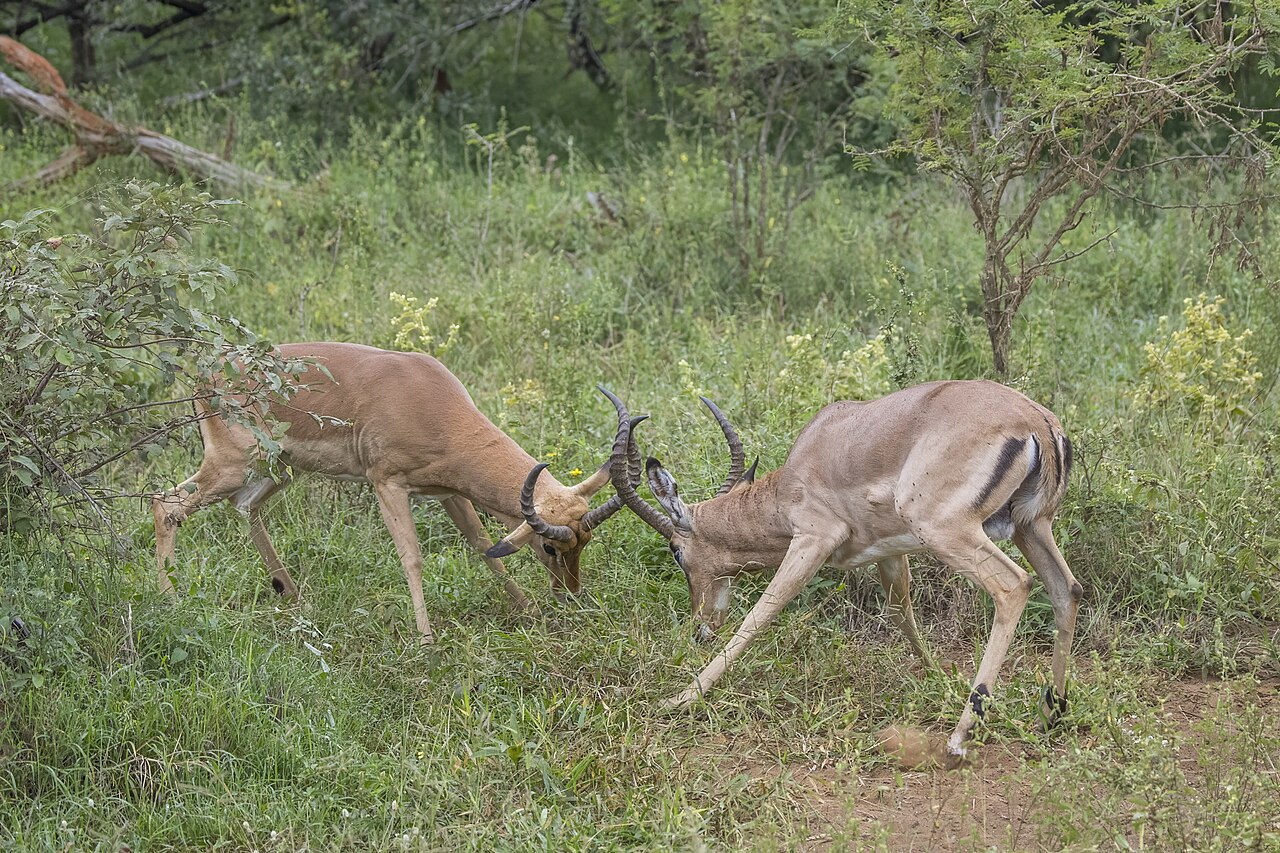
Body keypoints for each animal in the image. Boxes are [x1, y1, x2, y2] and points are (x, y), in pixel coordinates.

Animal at [153, 342, 637, 642]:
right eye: (551, 547)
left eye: (586, 540)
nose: (569, 595)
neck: (432, 404)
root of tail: (203, 377)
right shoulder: (386, 483)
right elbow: (413, 558)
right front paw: (426, 641)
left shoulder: (448, 491)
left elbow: (482, 545)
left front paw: (528, 611)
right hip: (233, 465)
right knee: (165, 505)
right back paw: (172, 606)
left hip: (276, 470)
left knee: (244, 508)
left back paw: (291, 595)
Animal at [607, 381, 1080, 763]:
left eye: (676, 551)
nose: (699, 628)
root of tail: (1036, 422)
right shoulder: (888, 552)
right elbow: (902, 615)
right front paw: (938, 680)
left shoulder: (812, 540)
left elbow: (761, 613)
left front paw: (679, 700)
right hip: (1031, 527)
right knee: (1067, 590)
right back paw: (1050, 715)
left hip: (949, 531)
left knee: (1014, 586)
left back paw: (960, 736)